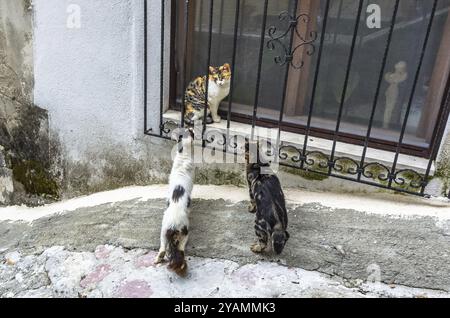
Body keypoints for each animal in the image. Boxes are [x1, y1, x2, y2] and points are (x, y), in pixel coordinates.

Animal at [155, 129, 195, 276]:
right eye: (190, 131)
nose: (191, 128)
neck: (183, 155)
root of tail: (173, 225)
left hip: (163, 231)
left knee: (163, 248)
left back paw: (158, 259)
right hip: (185, 232)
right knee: (181, 250)